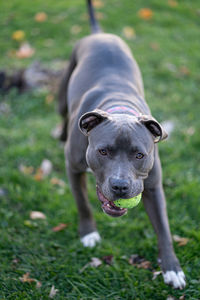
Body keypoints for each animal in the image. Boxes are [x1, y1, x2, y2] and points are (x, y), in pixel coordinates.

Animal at [57, 0, 186, 290]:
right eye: (103, 151)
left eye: (139, 155)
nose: (120, 186)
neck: (119, 109)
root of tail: (99, 34)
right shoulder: (73, 168)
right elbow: (82, 202)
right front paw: (89, 233)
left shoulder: (153, 186)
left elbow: (164, 229)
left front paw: (172, 268)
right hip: (63, 87)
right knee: (62, 114)